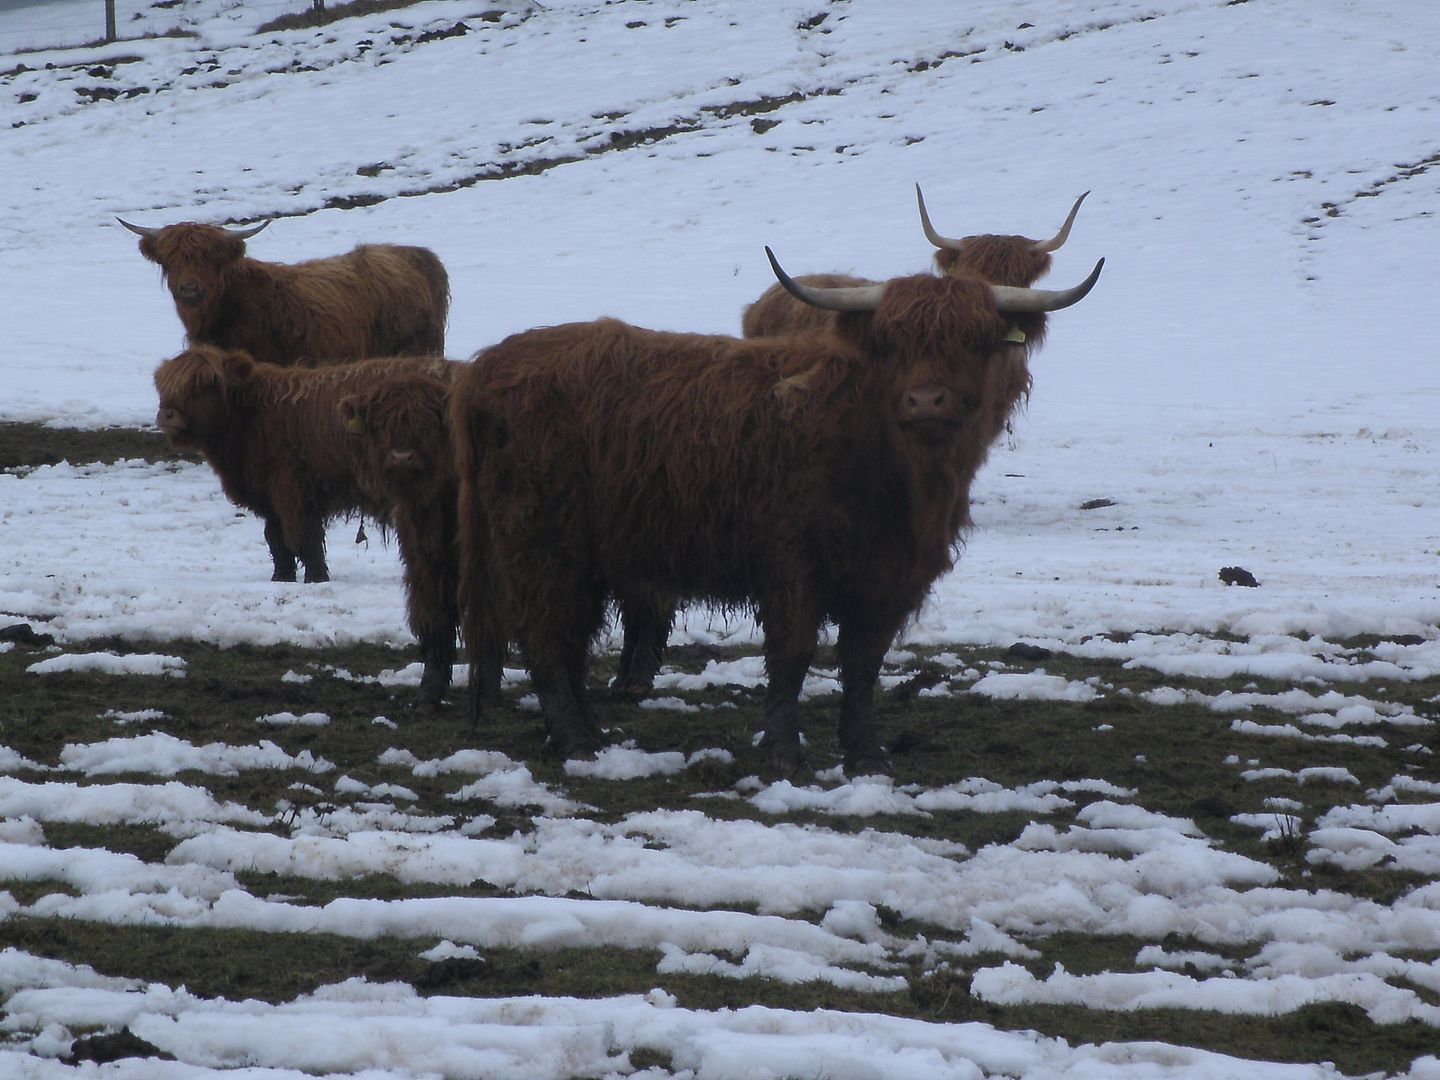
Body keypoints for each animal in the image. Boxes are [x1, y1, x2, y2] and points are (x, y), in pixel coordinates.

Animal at [153, 346, 449, 584]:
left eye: (206, 384)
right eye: (164, 386)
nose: (168, 414)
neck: (252, 417)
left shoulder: (293, 488)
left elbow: (304, 537)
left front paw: (316, 579)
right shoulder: (269, 496)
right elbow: (276, 539)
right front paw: (281, 578)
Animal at [451, 250, 1102, 775]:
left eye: (974, 339)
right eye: (892, 342)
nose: (925, 400)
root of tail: (484, 368)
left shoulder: (890, 577)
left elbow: (863, 664)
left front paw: (867, 754)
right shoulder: (792, 563)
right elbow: (792, 654)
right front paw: (785, 751)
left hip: (584, 556)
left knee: (571, 640)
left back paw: (592, 732)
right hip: (541, 545)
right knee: (546, 636)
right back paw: (577, 741)